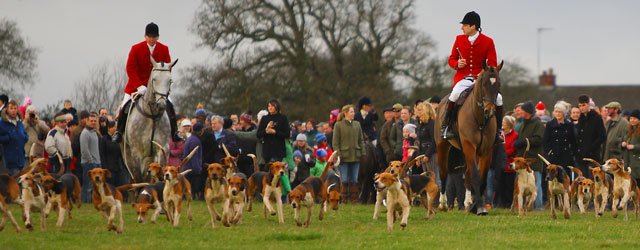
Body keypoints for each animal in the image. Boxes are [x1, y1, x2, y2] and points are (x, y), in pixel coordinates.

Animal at [436, 60, 504, 215]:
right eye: (484, 83)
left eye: (498, 84)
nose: (490, 110)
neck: (480, 118)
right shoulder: (469, 145)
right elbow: (475, 175)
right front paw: (478, 206)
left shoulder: (486, 151)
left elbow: (482, 178)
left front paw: (476, 205)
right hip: (442, 146)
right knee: (443, 174)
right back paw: (442, 204)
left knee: (466, 175)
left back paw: (467, 203)